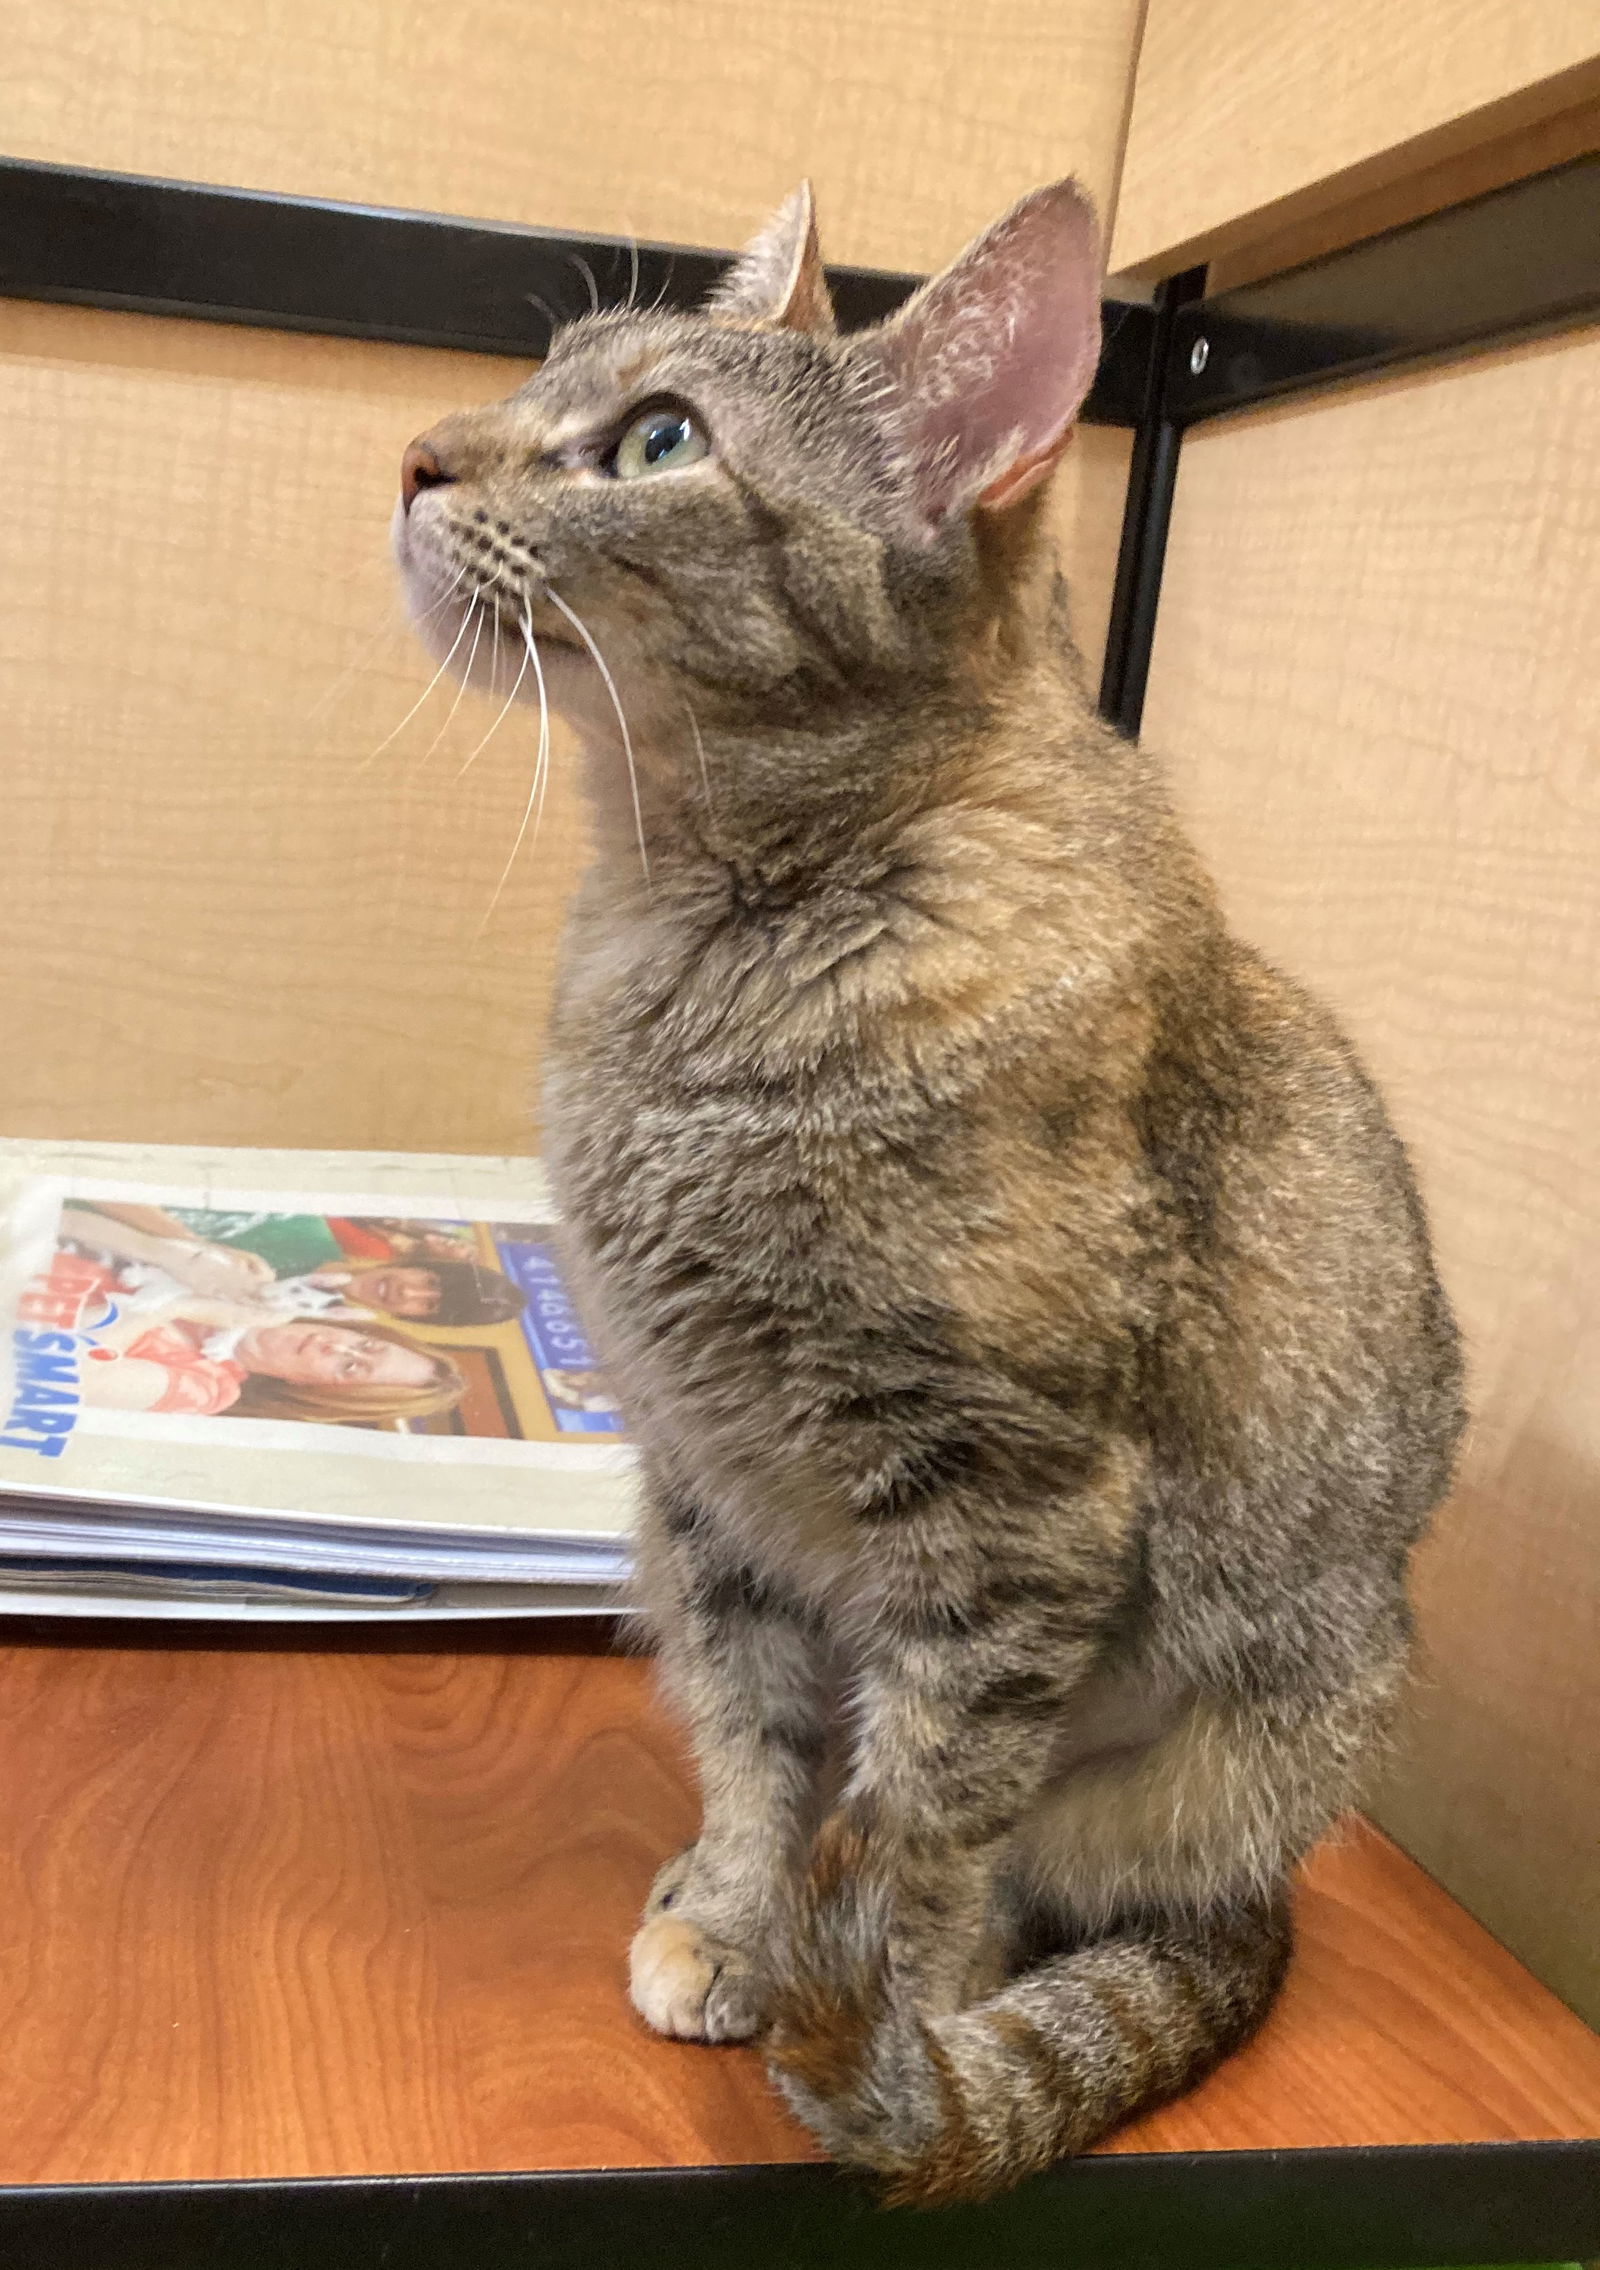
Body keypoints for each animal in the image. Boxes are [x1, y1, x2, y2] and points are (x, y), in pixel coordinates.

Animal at [390, 181, 1461, 2215]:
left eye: (655, 442)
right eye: (541, 374)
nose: (413, 457)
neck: (710, 916)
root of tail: (1272, 1871)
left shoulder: (1010, 1512)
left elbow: (936, 1824)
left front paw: (901, 2031)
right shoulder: (713, 1486)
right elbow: (754, 1749)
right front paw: (739, 1913)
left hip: (1225, 1748)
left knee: (1065, 1878)